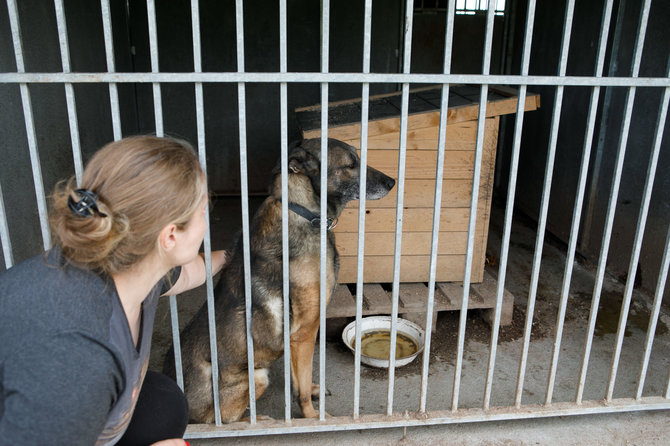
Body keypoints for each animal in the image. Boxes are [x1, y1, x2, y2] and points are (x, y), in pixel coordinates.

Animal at [167, 138, 396, 424]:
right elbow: (303, 388)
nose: (392, 182)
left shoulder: (295, 339)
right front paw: (312, 416)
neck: (304, 212)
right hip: (256, 376)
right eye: (350, 165)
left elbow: (299, 380)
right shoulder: (305, 332)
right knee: (225, 419)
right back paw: (259, 420)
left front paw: (310, 392)